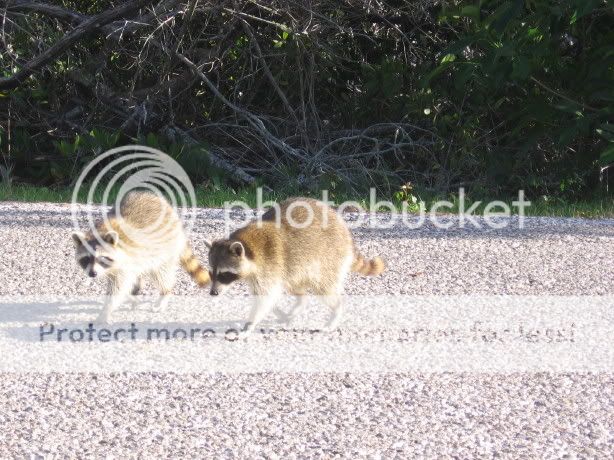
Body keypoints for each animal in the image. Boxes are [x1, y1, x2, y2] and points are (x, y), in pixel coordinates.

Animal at [73, 190, 209, 324]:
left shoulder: (126, 262)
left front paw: (106, 310)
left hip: (165, 248)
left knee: (161, 273)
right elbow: (123, 285)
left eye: (102, 258)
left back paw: (165, 292)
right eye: (86, 259)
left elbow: (119, 288)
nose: (92, 274)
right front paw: (130, 297)